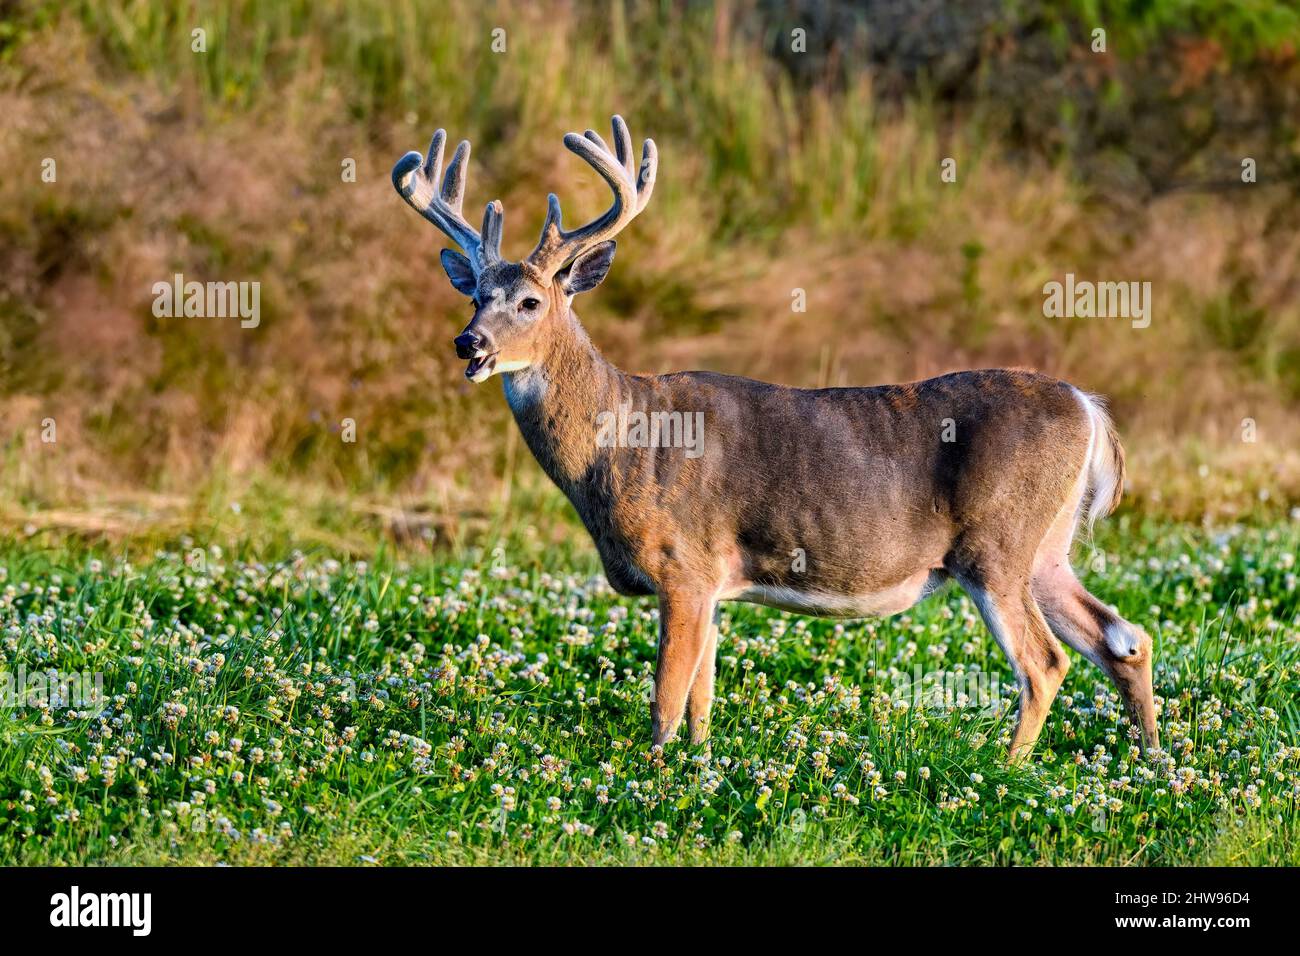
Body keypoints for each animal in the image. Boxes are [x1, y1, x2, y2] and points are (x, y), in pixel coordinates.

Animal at [392, 115, 1159, 759]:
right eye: (474, 296)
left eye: (530, 301)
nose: (469, 344)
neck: (622, 438)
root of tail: (1089, 408)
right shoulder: (712, 585)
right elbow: (701, 702)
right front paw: (700, 770)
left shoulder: (684, 563)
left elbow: (665, 702)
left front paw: (653, 778)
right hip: (1048, 546)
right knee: (1124, 637)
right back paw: (1148, 758)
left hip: (997, 543)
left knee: (1045, 661)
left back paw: (1007, 766)